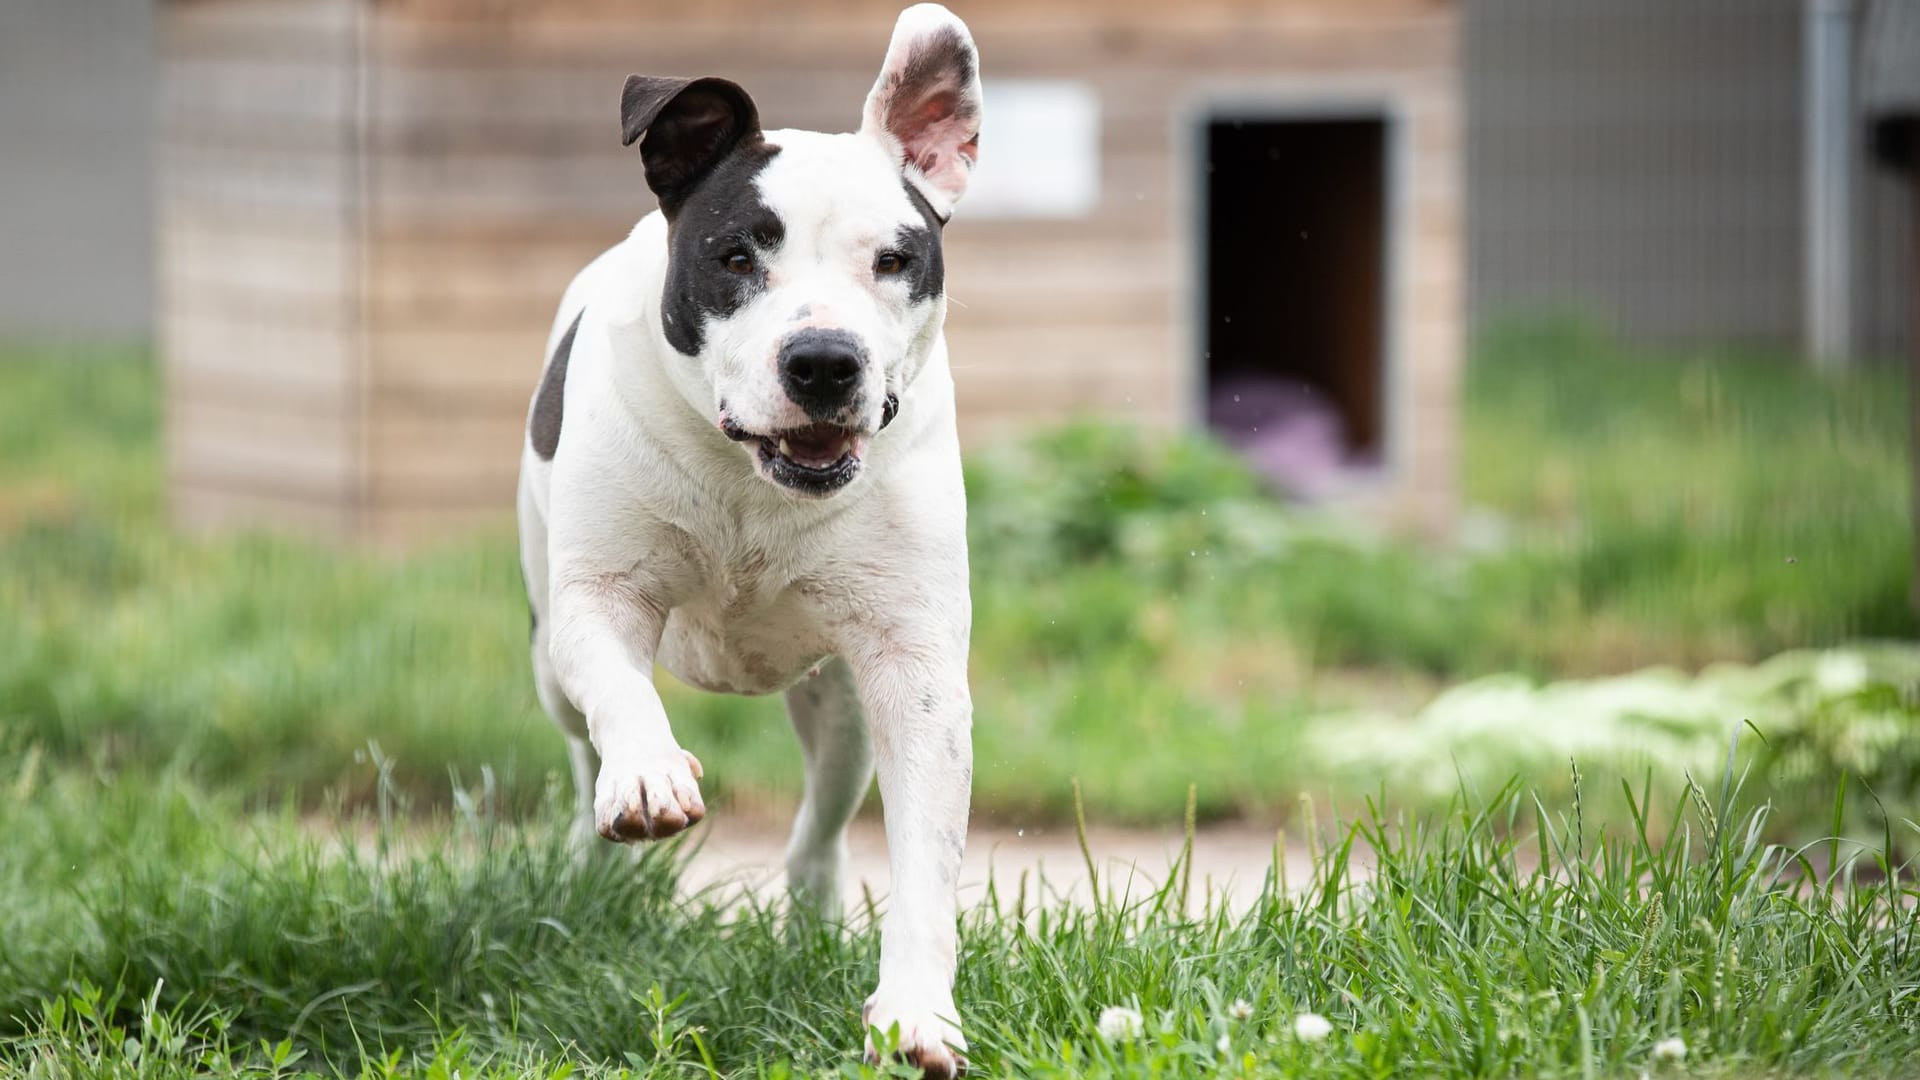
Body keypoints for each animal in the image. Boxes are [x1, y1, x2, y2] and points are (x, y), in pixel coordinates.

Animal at [518, 6, 983, 1068]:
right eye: (736, 256)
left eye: (894, 260)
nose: (823, 360)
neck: (752, 484)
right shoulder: (597, 597)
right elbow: (619, 690)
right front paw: (647, 776)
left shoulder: (914, 668)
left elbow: (926, 852)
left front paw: (915, 1012)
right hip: (543, 651)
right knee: (577, 739)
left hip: (840, 707)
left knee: (821, 825)